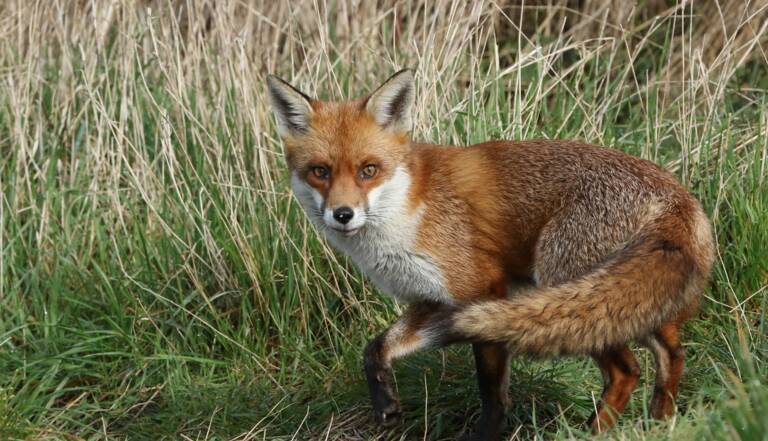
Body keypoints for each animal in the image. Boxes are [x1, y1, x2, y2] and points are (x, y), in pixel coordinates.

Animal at [268, 68, 716, 436]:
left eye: (368, 170)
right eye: (320, 172)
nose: (342, 215)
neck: (406, 208)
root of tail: (677, 198)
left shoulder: (481, 290)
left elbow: (492, 391)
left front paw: (486, 433)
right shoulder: (432, 302)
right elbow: (375, 348)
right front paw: (385, 404)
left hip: (570, 286)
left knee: (626, 371)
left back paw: (595, 431)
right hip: (630, 299)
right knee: (672, 352)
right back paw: (660, 421)